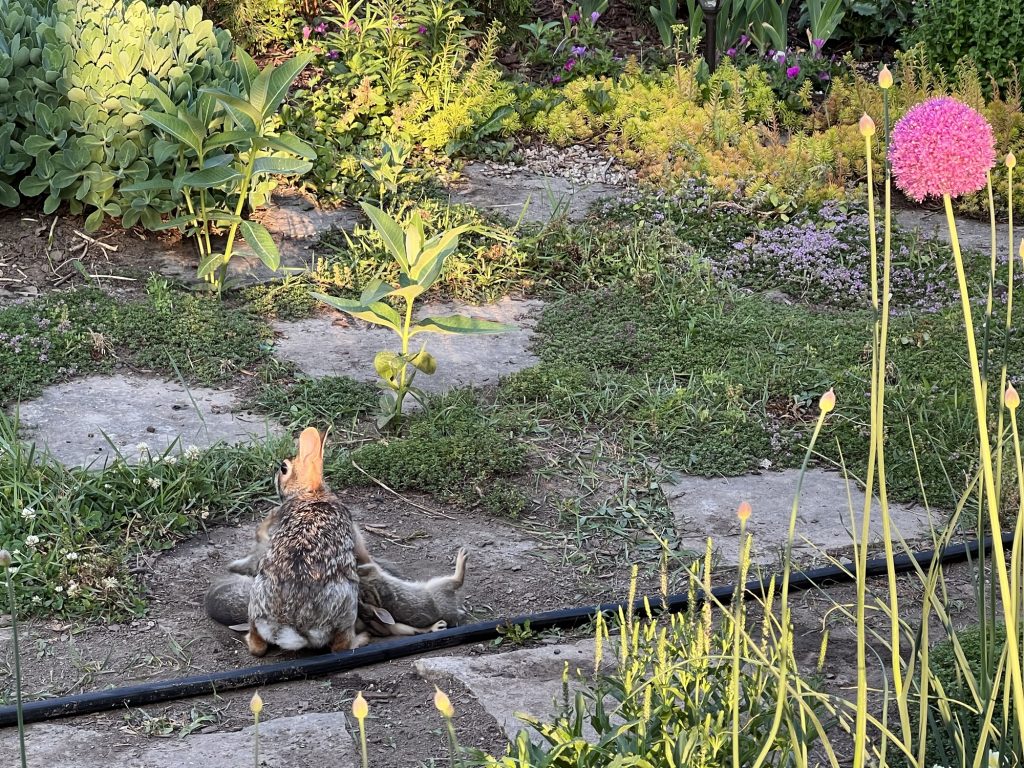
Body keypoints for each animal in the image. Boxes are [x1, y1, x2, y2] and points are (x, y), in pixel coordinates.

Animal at [245, 427, 366, 656]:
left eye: (284, 468)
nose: (275, 474)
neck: (311, 492)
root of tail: (291, 627)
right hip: (347, 605)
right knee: (340, 645)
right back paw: (362, 639)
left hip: (256, 597)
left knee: (257, 644)